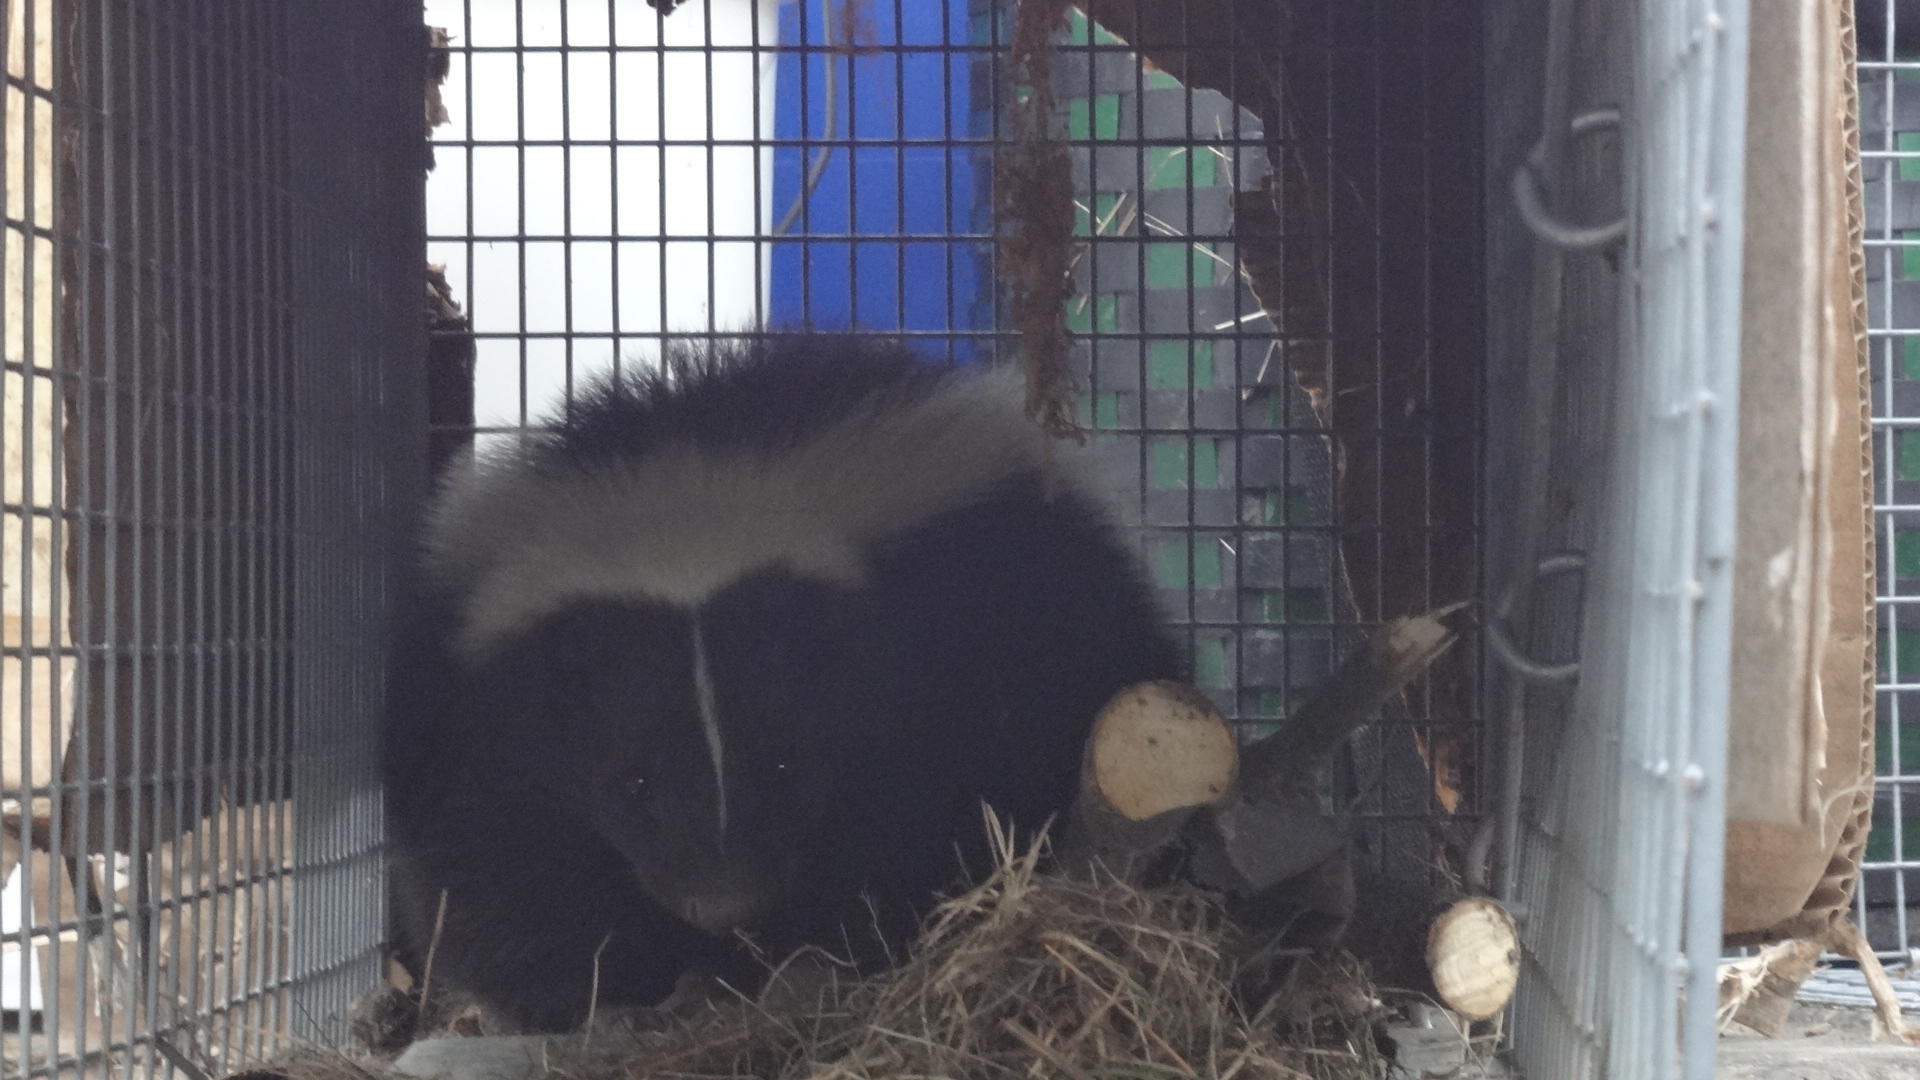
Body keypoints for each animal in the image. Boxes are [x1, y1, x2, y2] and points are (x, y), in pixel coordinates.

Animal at [382, 334, 1175, 1022]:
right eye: (635, 783)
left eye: (788, 763)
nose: (725, 903)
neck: (690, 496)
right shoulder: (480, 715)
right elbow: (498, 876)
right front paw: (612, 999)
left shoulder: (933, 669)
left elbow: (915, 826)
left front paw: (809, 963)